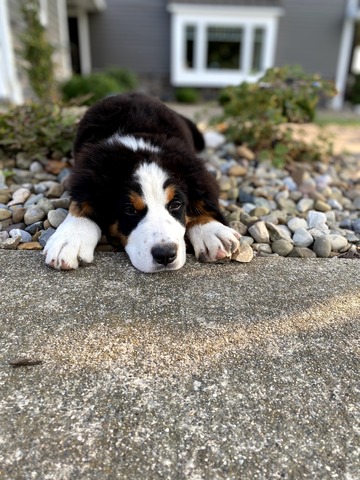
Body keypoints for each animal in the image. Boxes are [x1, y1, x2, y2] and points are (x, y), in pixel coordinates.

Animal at [45, 93, 242, 274]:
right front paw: (70, 238)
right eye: (130, 210)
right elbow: (80, 204)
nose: (165, 255)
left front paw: (211, 231)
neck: (137, 144)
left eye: (176, 204)